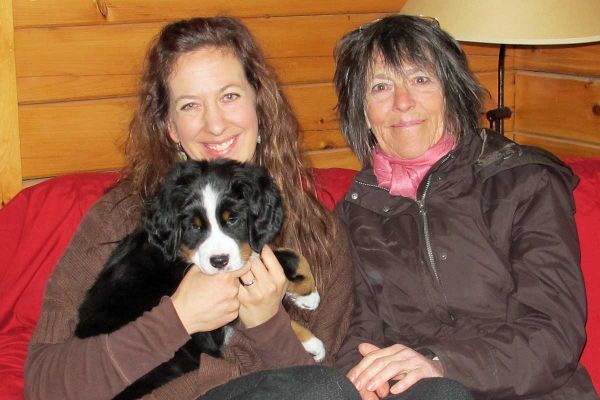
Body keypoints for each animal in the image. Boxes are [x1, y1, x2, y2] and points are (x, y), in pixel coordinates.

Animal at [76, 159, 324, 400]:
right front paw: (309, 299)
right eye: (194, 226)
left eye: (232, 219)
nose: (219, 261)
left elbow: (285, 254)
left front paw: (306, 321)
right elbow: (280, 257)